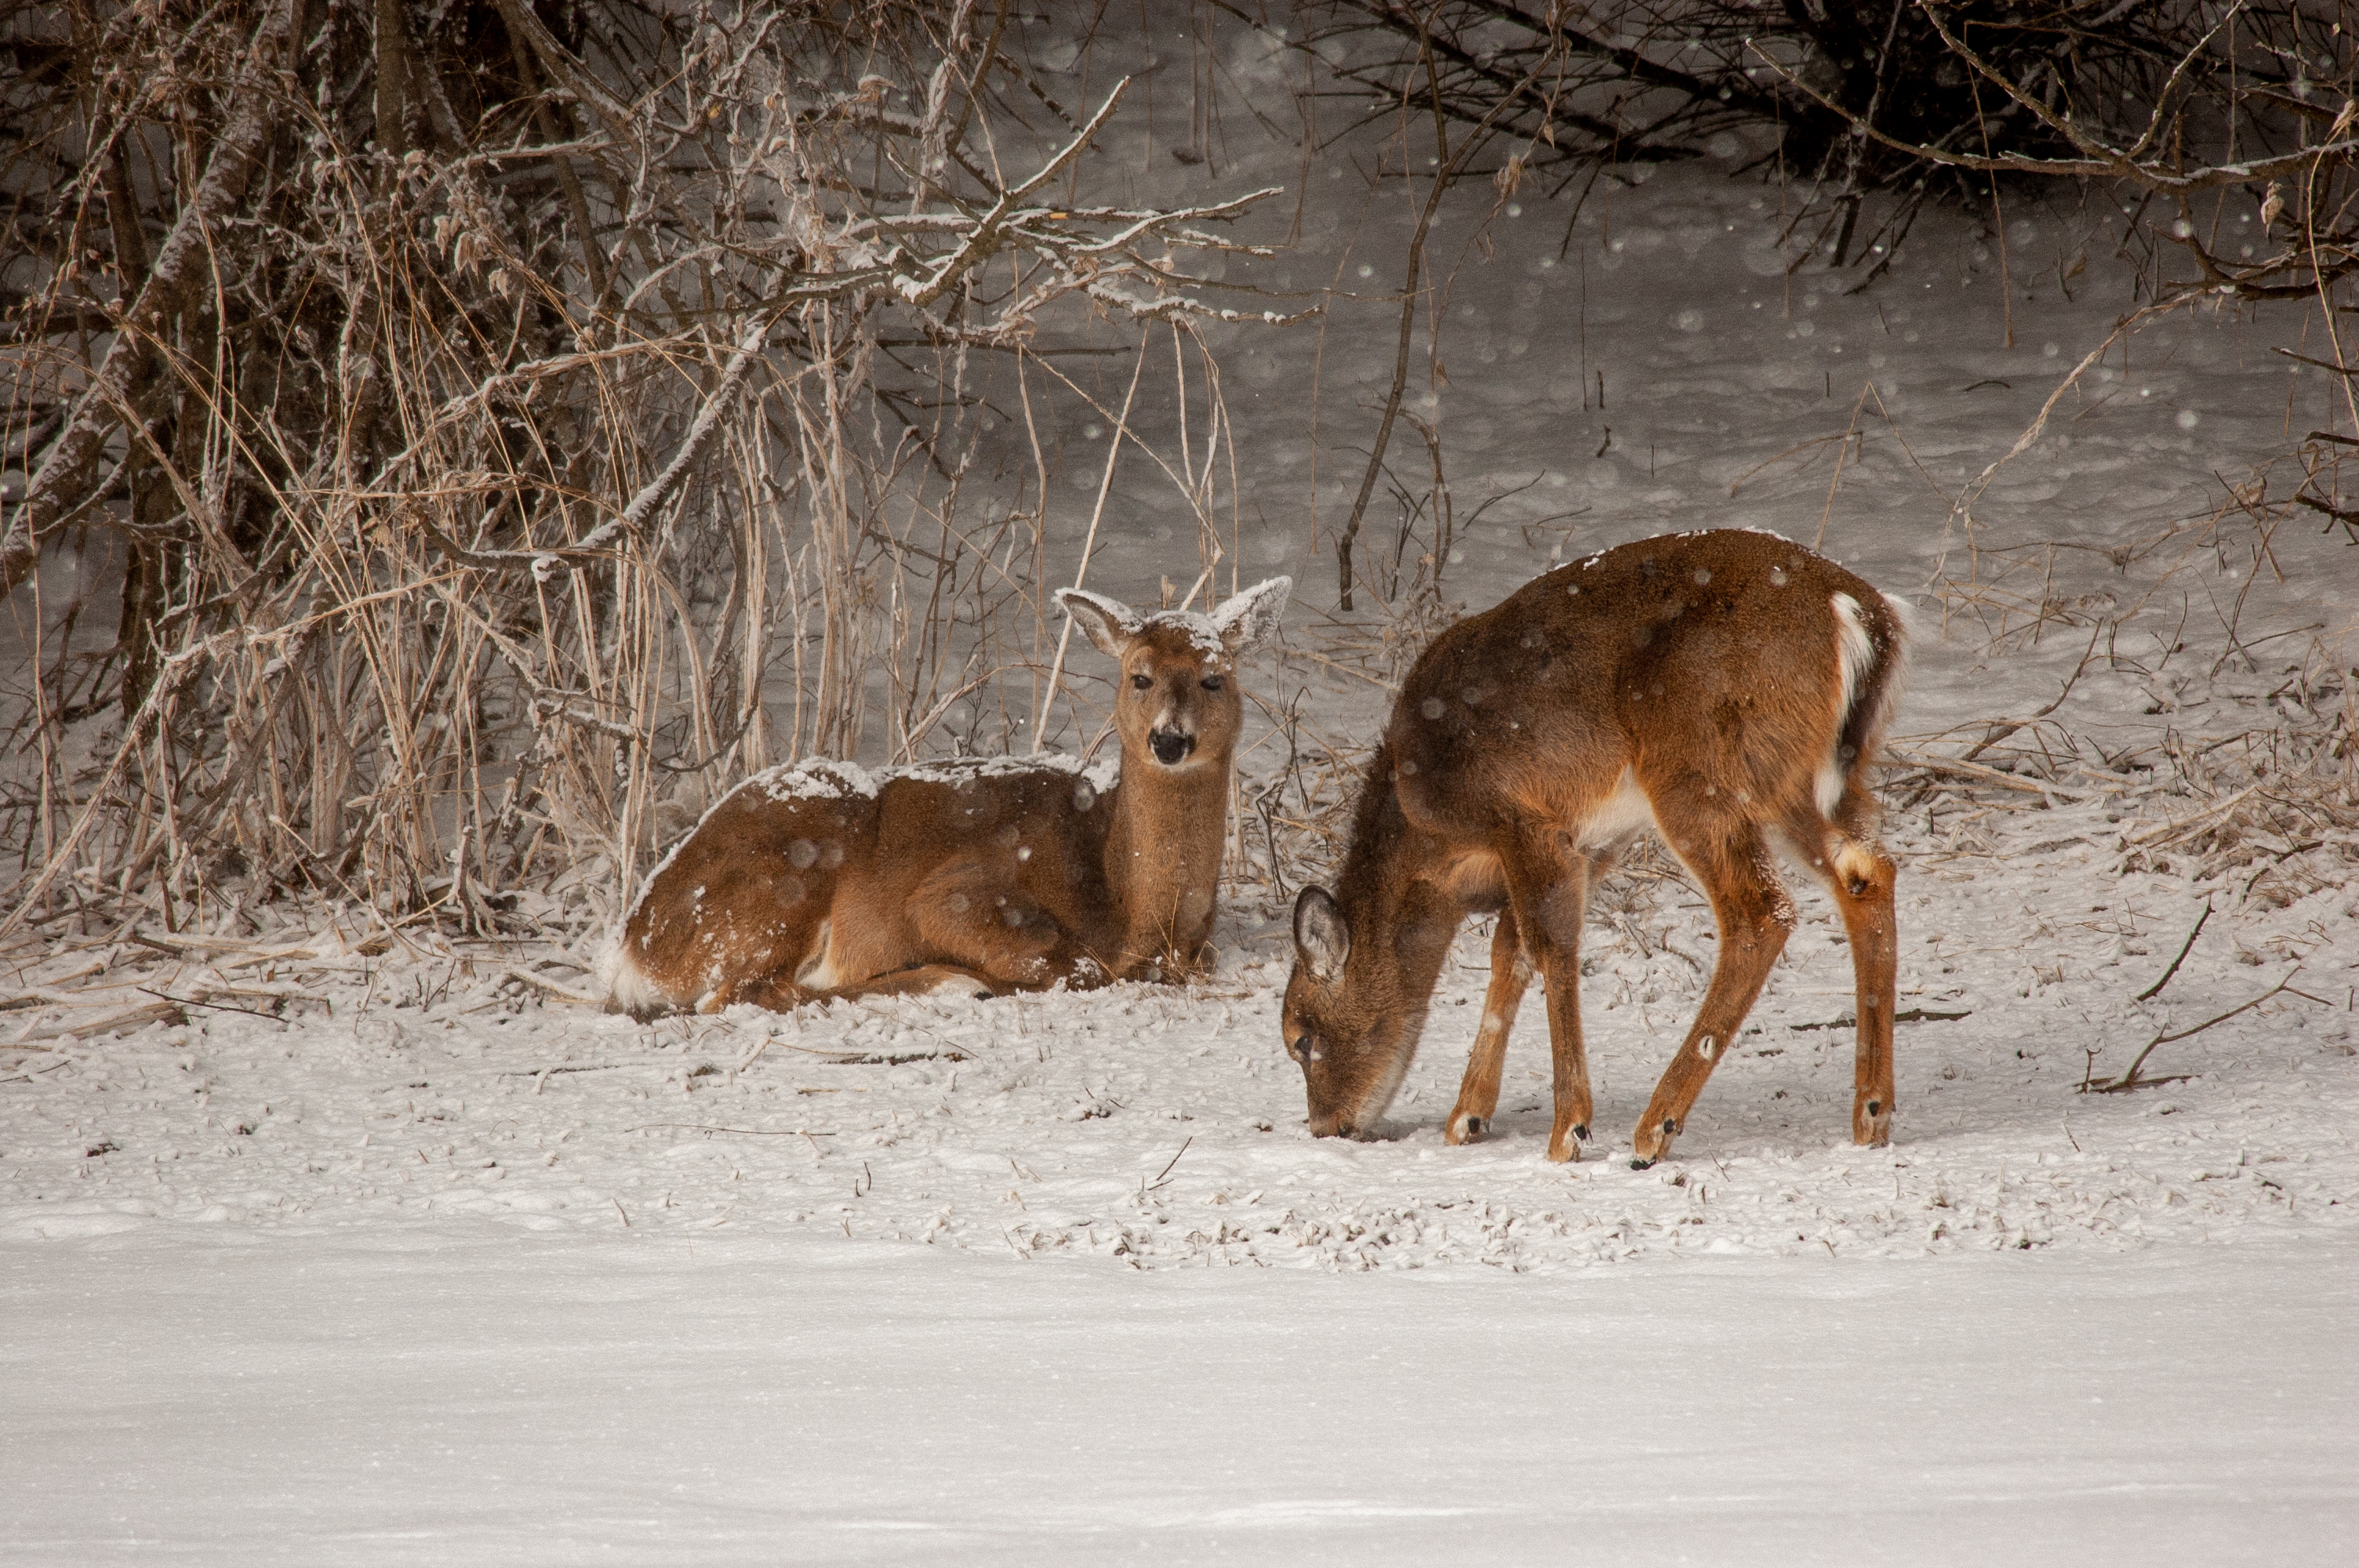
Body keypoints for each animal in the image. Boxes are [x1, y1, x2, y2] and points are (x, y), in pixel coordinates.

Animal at [609, 575, 1292, 1014]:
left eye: (1214, 678)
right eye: (1139, 676)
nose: (1169, 740)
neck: (1132, 908)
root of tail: (634, 942)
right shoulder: (954, 893)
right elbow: (1074, 964)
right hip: (781, 885)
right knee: (741, 993)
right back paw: (948, 980)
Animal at [1283, 528, 1906, 1160]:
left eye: (1301, 1038)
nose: (1326, 1126)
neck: (1428, 847)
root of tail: (1859, 614)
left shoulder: (1520, 819)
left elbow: (1549, 948)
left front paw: (1569, 1130)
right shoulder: (1593, 843)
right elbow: (1509, 953)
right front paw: (1468, 1117)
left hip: (1701, 770)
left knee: (1761, 913)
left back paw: (1656, 1128)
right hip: (1806, 780)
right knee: (1867, 870)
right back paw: (1871, 1115)